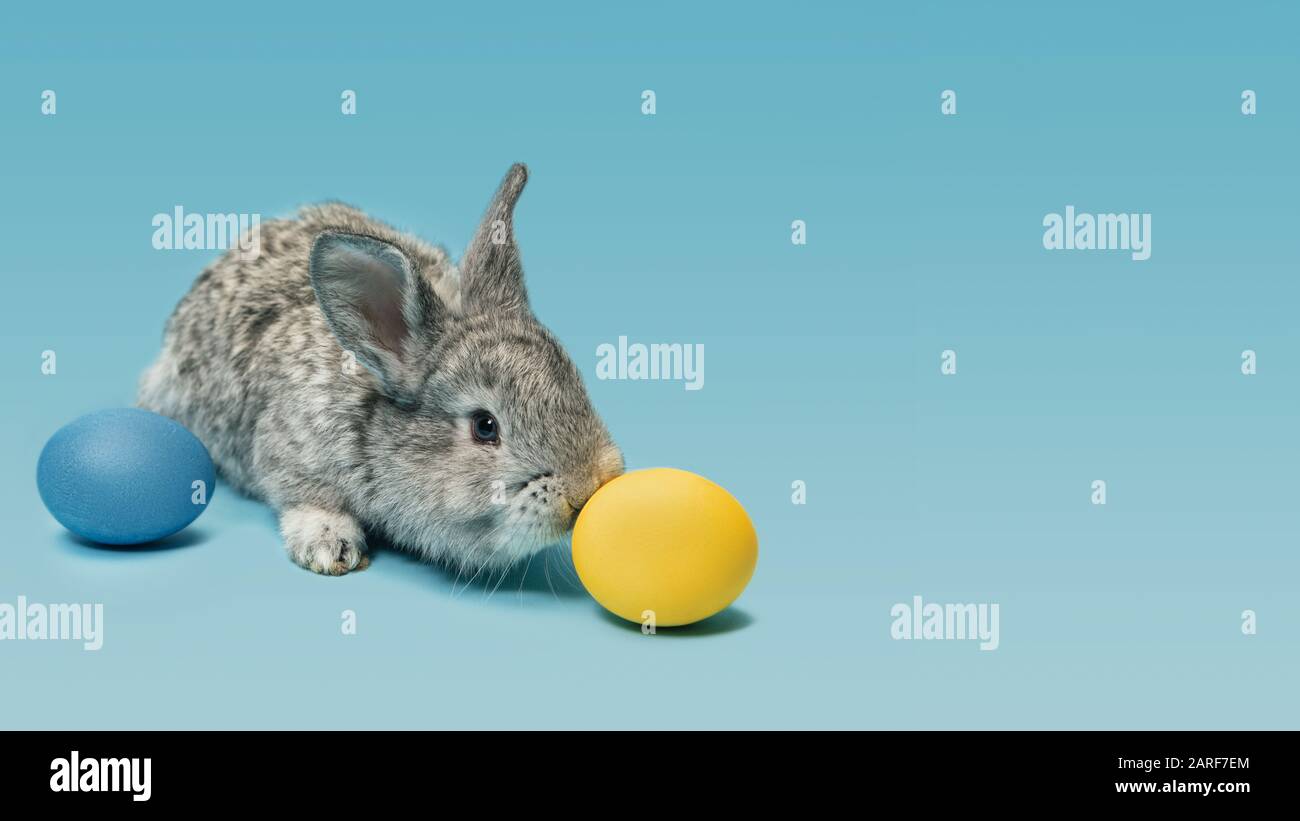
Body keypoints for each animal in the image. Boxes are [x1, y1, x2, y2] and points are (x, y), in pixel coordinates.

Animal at [138, 164, 624, 576]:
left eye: (576, 383)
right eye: (485, 426)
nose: (583, 493)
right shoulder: (289, 451)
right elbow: (302, 496)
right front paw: (330, 547)